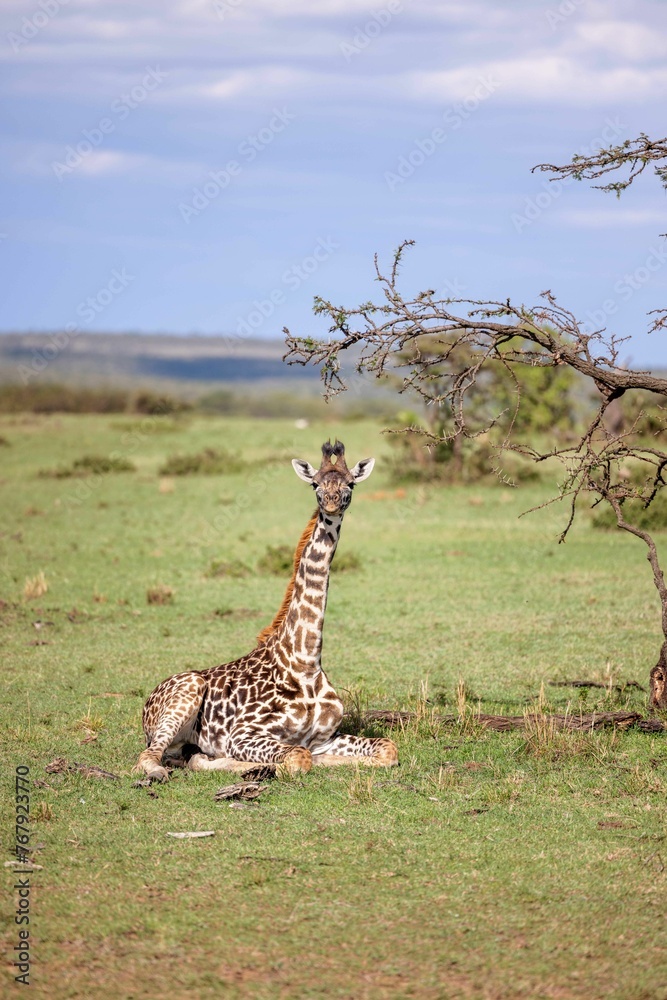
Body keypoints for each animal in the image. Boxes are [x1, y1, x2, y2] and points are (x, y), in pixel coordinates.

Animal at [134, 440, 398, 780]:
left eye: (350, 483)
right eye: (315, 483)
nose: (331, 503)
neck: (305, 661)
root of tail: (148, 702)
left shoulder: (325, 738)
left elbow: (387, 748)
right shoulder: (242, 734)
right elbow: (298, 758)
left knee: (192, 759)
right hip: (185, 698)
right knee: (149, 757)